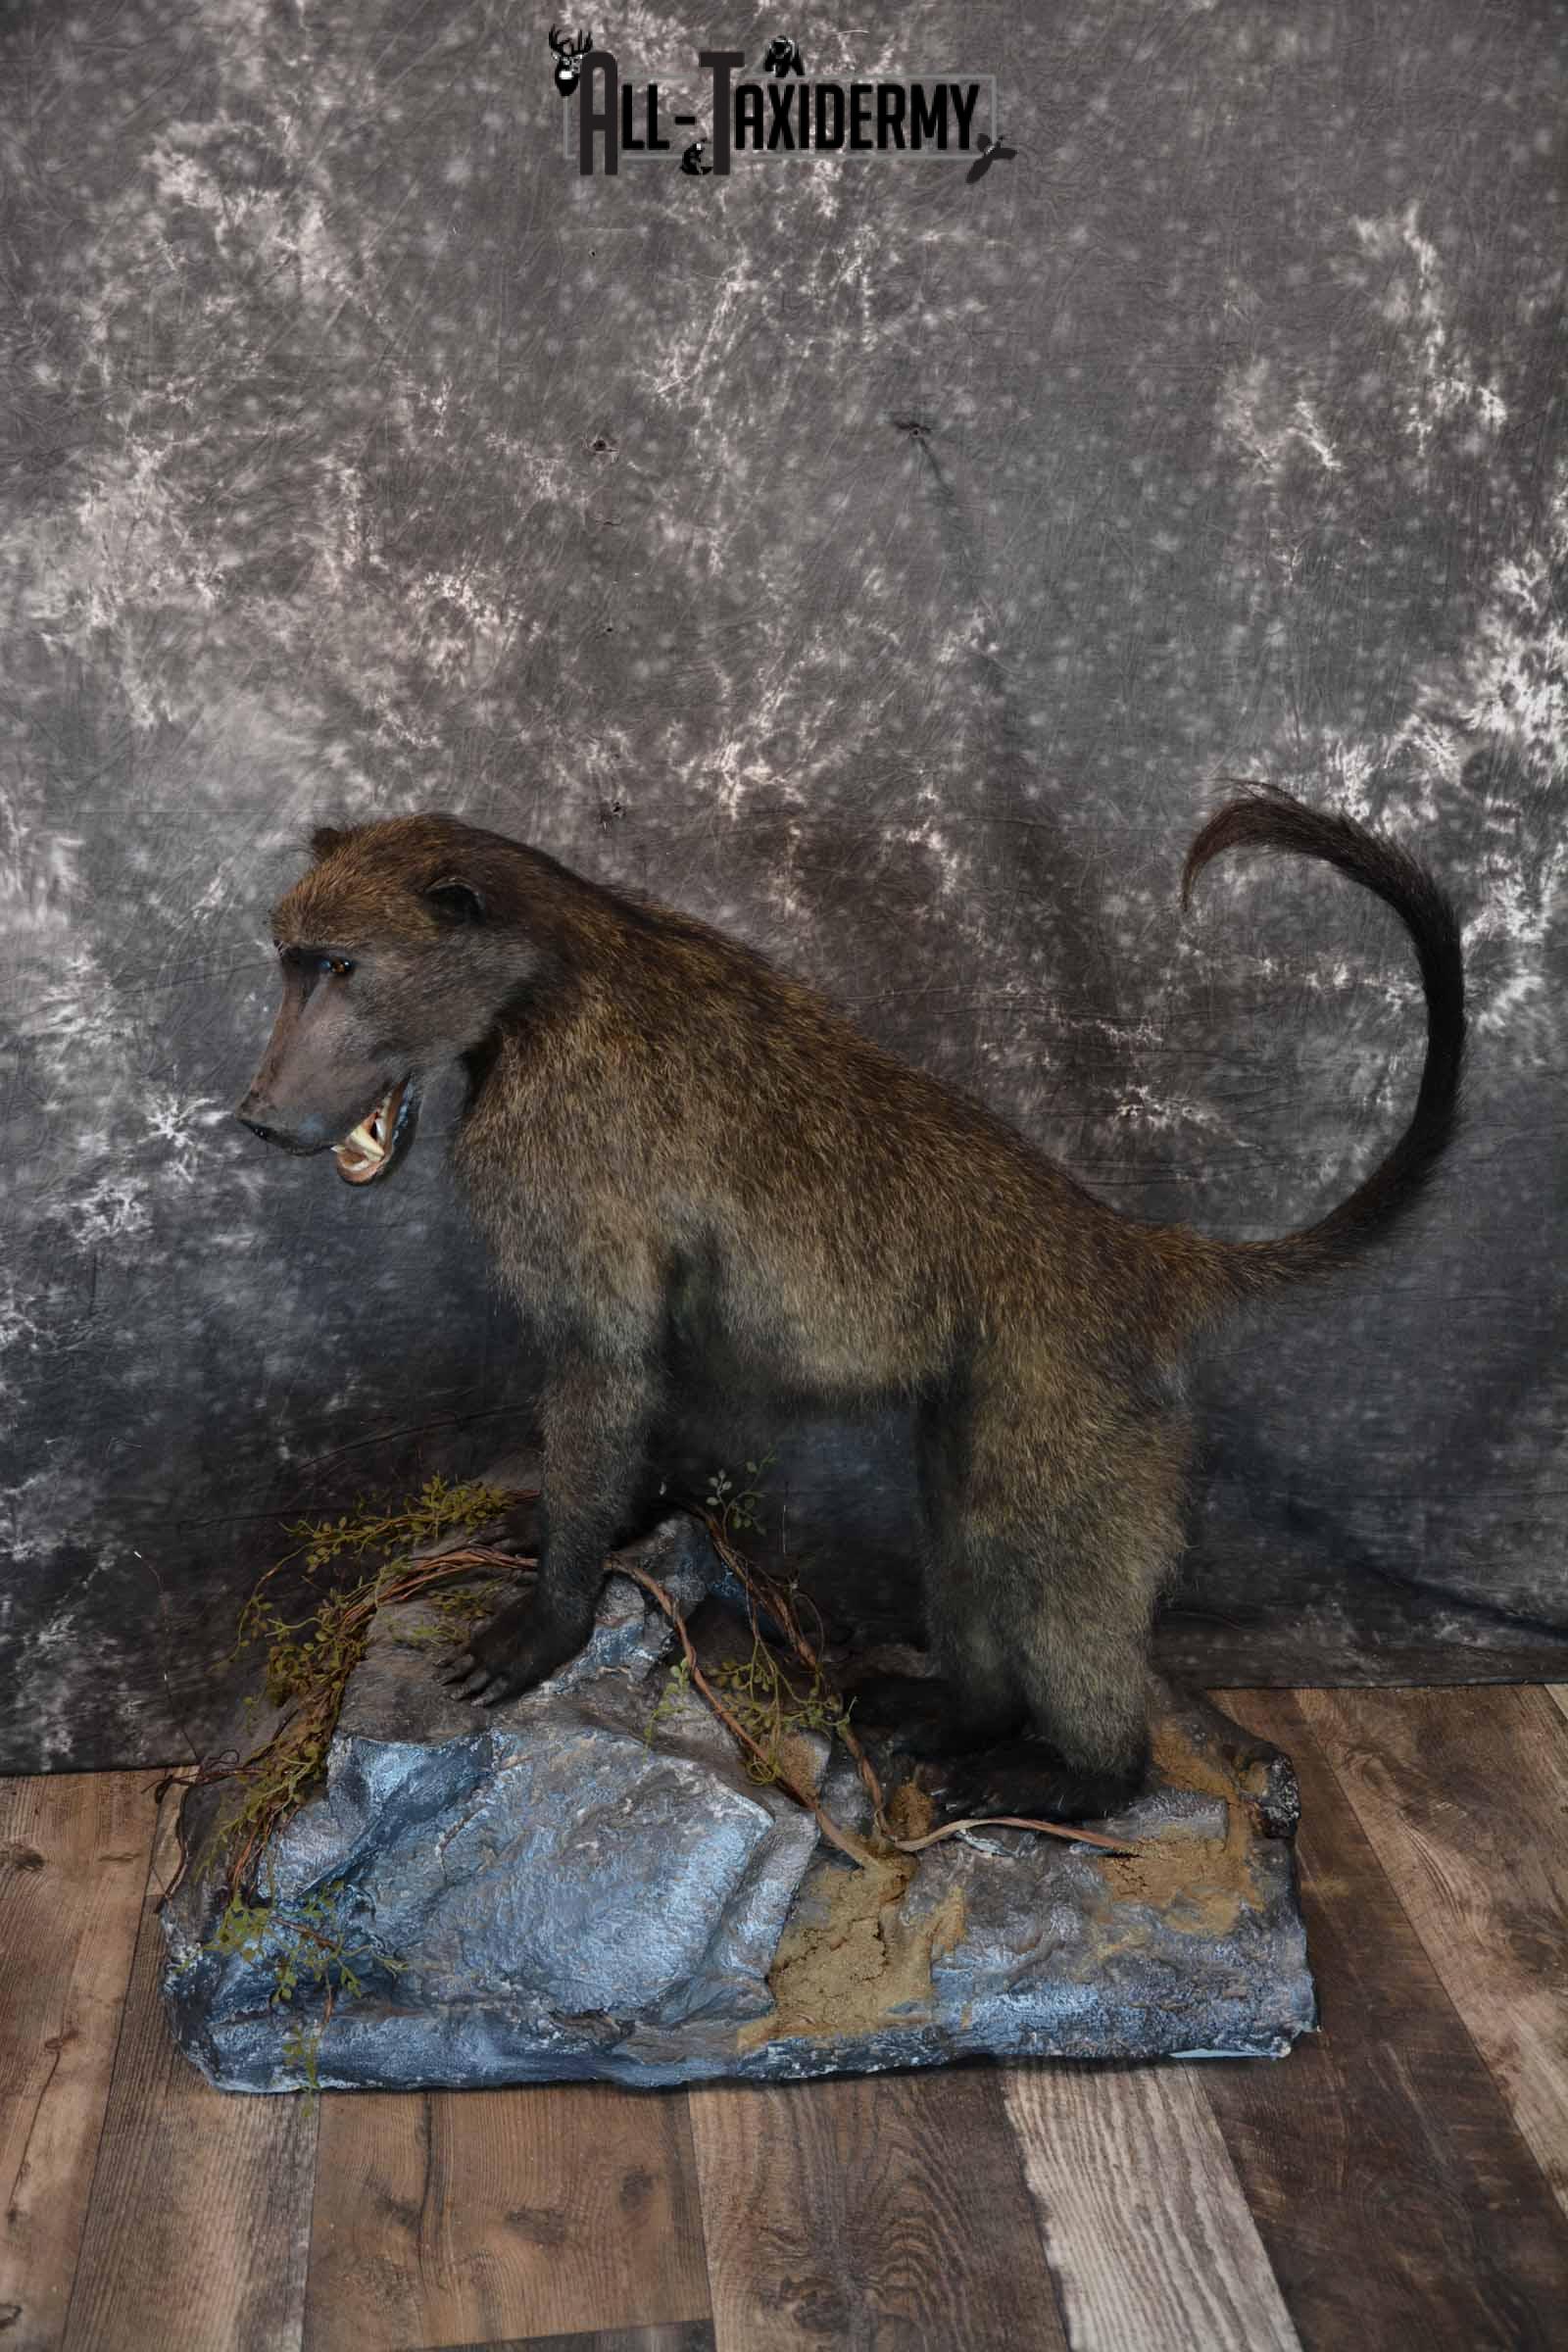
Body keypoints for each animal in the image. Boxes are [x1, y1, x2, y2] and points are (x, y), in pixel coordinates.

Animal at [236, 789, 1463, 1821]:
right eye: (292, 965)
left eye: (337, 966)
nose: (257, 1114)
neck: (545, 974)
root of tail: (1126, 1249)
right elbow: (647, 1379)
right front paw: (577, 1532)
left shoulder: (559, 1152)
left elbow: (604, 1362)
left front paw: (547, 1619)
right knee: (963, 1521)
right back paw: (964, 1714)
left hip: (1076, 1397)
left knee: (1035, 1544)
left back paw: (1084, 1778)